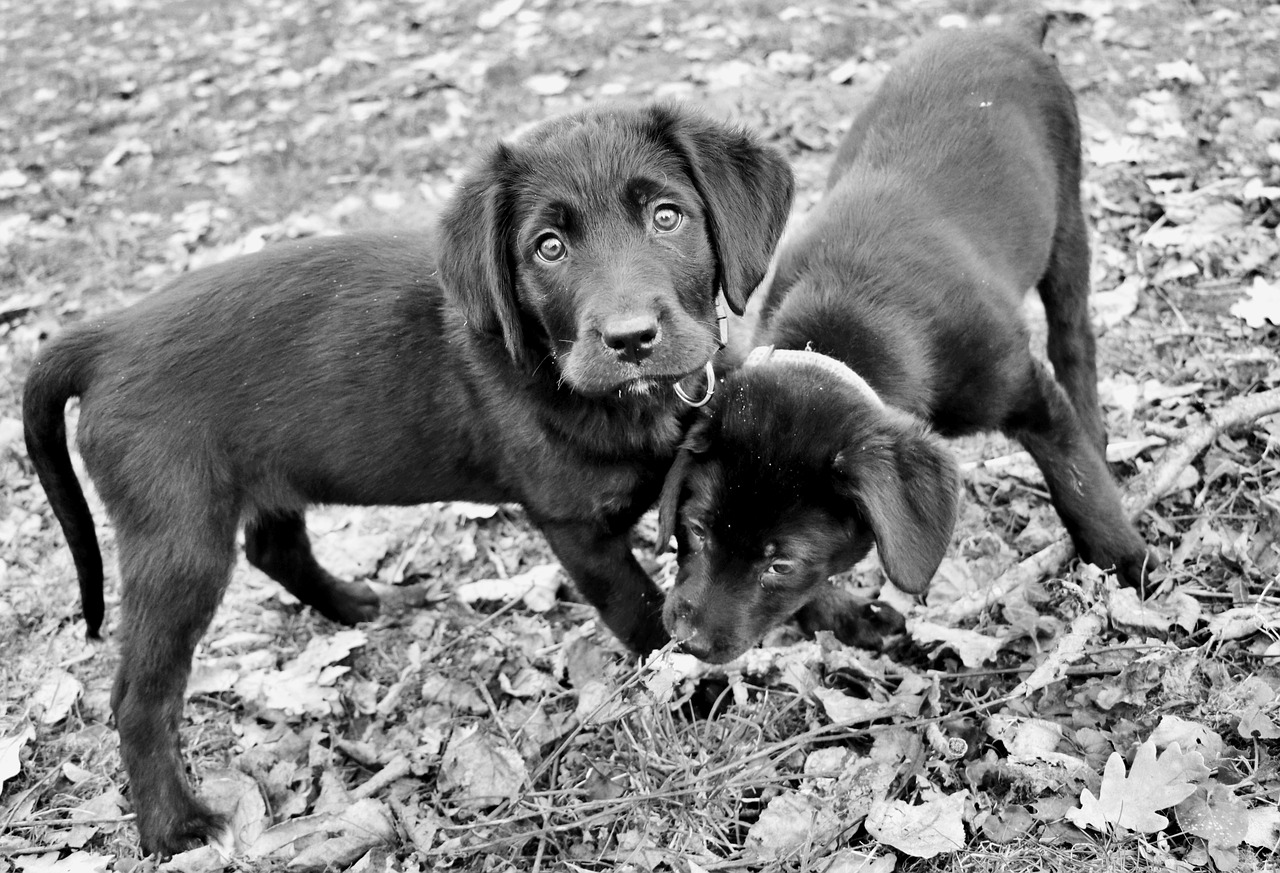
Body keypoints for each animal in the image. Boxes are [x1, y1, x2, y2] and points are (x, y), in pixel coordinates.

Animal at [24, 100, 793, 849]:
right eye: (548, 247)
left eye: (667, 216)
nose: (631, 338)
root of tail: (104, 336)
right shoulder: (576, 527)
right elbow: (642, 611)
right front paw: (700, 693)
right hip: (178, 536)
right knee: (139, 694)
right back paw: (171, 826)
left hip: (266, 473)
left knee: (276, 547)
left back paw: (361, 604)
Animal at [660, 18, 1152, 660]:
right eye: (694, 530)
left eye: (781, 565)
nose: (687, 640)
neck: (851, 318)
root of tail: (1004, 29)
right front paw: (852, 620)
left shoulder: (1021, 386)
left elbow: (1076, 479)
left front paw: (1127, 561)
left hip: (1067, 216)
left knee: (1074, 338)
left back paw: (1094, 431)